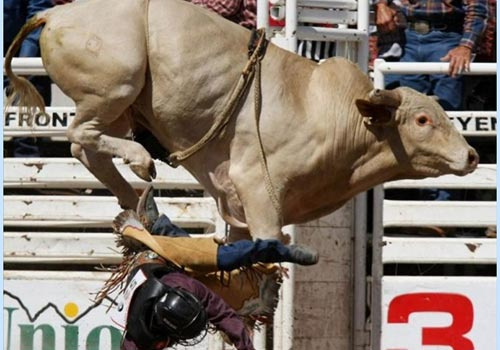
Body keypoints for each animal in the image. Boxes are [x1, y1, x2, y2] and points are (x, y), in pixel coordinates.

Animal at [4, 0, 480, 243]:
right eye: (422, 119)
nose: (473, 156)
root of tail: (56, 13)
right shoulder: (257, 189)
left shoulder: (236, 207)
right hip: (114, 87)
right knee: (80, 133)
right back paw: (141, 162)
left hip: (120, 106)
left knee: (84, 146)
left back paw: (136, 203)